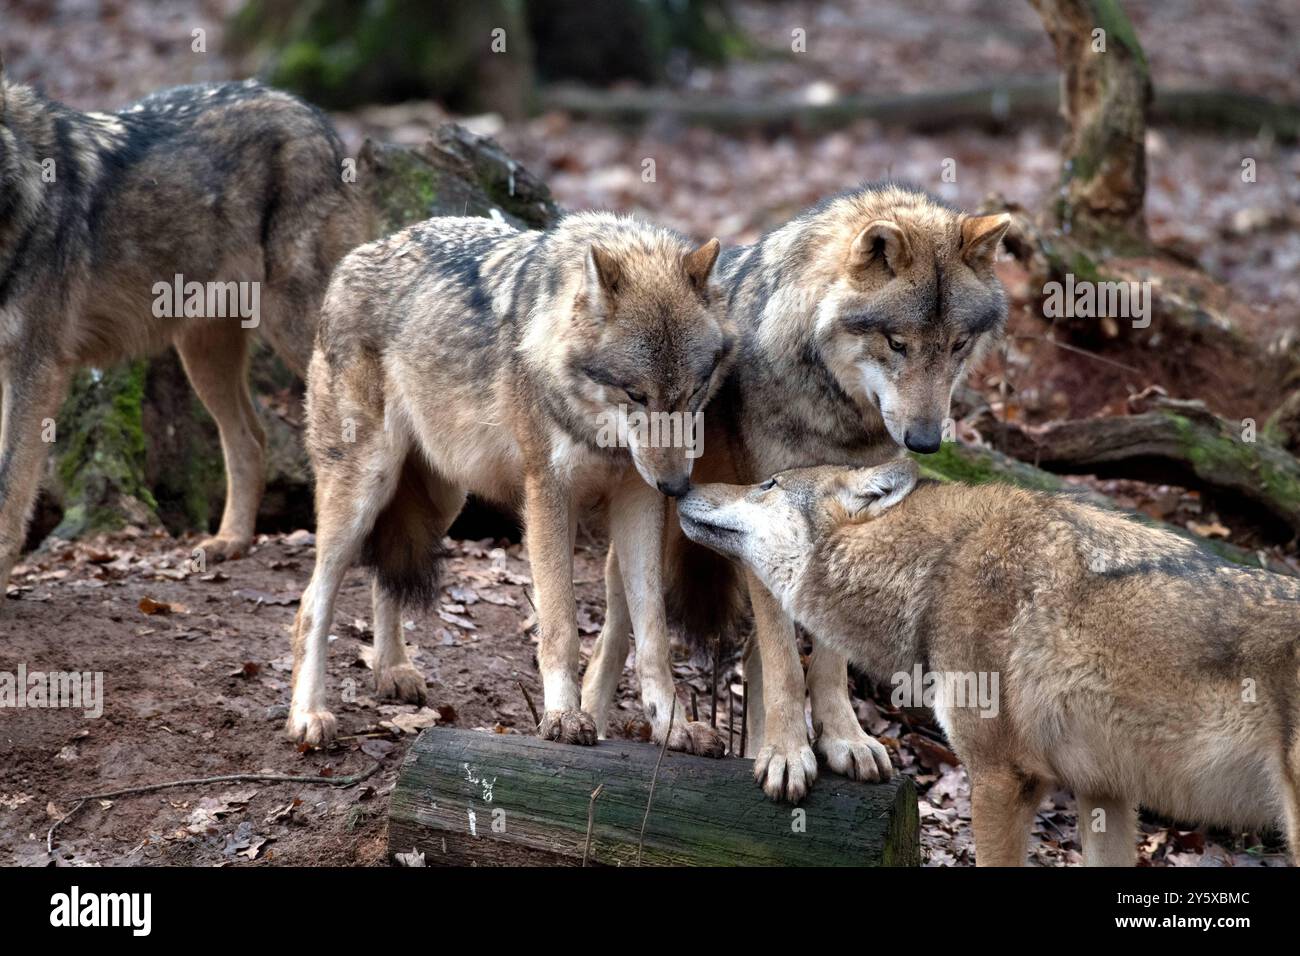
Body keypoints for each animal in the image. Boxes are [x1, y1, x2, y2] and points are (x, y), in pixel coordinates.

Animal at [0, 59, 369, 590]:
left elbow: (9, 491)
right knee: (251, 439)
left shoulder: (35, 367)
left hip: (299, 334)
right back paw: (231, 541)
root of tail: (310, 111)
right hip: (203, 353)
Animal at [286, 210, 738, 754]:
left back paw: (392, 670)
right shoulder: (548, 496)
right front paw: (563, 717)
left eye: (693, 393)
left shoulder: (638, 499)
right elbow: (561, 625)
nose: (676, 487)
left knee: (385, 575)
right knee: (313, 602)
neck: (597, 432)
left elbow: (652, 633)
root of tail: (355, 256)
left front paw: (673, 726)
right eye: (636, 395)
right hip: (364, 486)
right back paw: (309, 715)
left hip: (441, 500)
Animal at [582, 183, 1013, 806]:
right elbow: (788, 665)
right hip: (649, 550)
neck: (835, 416)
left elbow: (824, 662)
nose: (927, 442)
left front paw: (842, 741)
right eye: (897, 343)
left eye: (957, 345)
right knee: (618, 633)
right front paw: (788, 754)